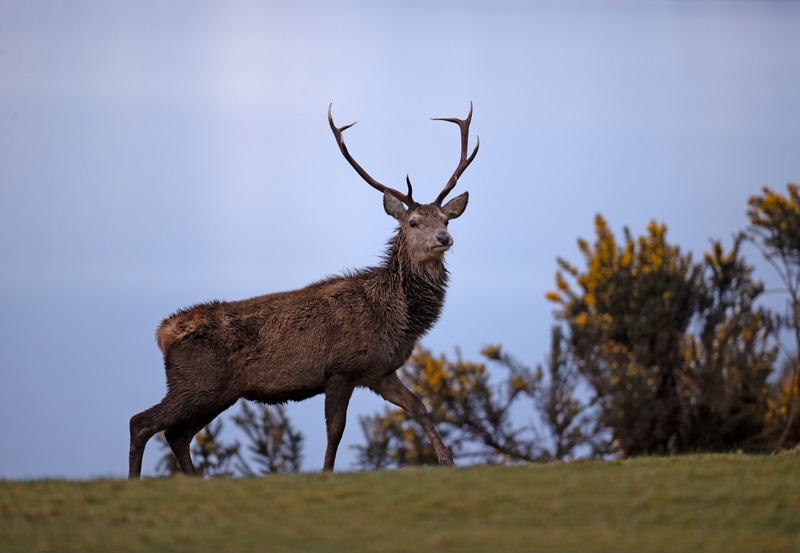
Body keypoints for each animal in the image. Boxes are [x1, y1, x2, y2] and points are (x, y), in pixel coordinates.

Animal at [128, 103, 479, 478]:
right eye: (413, 222)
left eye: (446, 219)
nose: (444, 238)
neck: (394, 316)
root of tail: (163, 332)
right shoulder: (340, 368)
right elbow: (336, 429)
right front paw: (326, 473)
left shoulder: (379, 371)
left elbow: (419, 405)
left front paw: (448, 461)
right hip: (197, 382)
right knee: (142, 422)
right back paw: (136, 480)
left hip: (217, 392)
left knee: (176, 433)